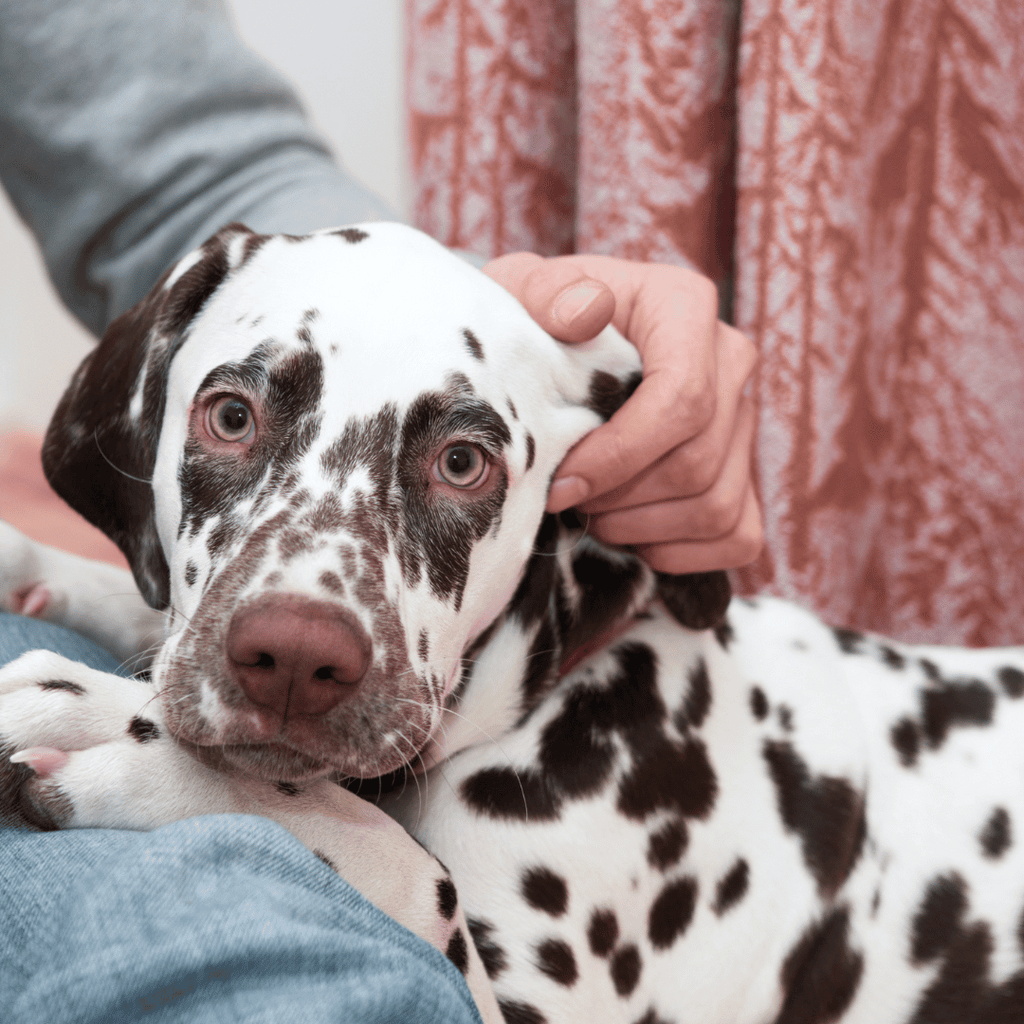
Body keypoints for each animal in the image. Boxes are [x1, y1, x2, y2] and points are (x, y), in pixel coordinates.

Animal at [2, 226, 1024, 1024]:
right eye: (230, 414)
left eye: (462, 462)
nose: (292, 659)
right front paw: (45, 578)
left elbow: (409, 869)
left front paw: (103, 727)